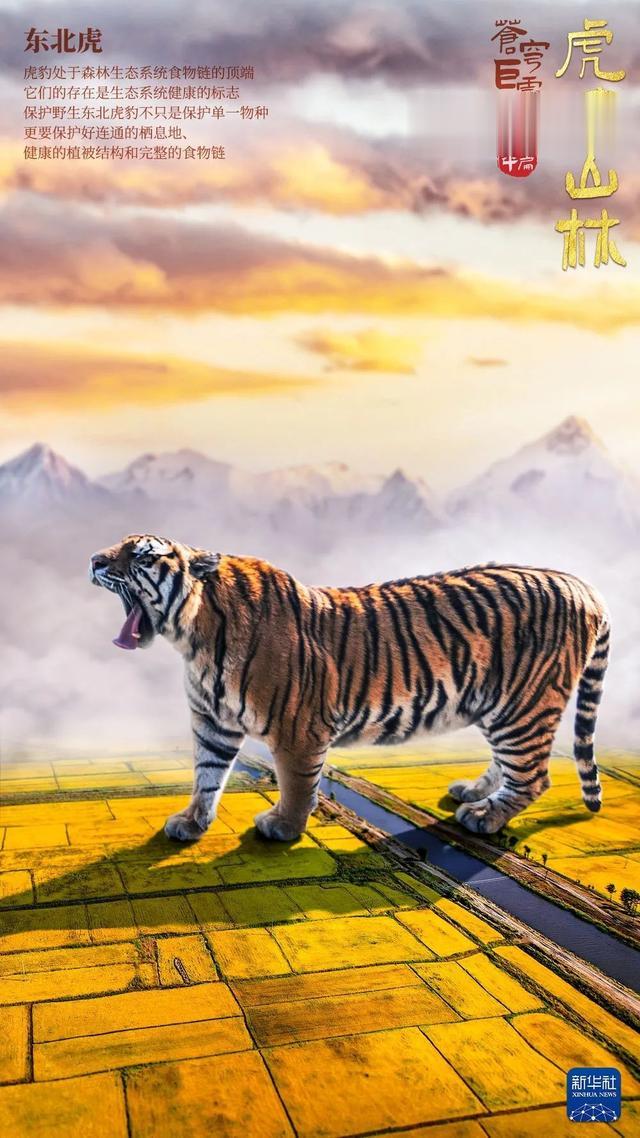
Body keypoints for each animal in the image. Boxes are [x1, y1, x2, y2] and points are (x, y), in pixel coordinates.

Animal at [90, 534, 610, 841]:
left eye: (141, 554)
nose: (93, 559)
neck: (193, 637)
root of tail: (583, 584)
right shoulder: (213, 722)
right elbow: (206, 775)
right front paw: (191, 822)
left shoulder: (298, 730)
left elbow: (297, 783)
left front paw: (283, 827)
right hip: (500, 706)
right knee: (509, 765)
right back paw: (472, 793)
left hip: (523, 707)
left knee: (533, 775)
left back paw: (484, 817)